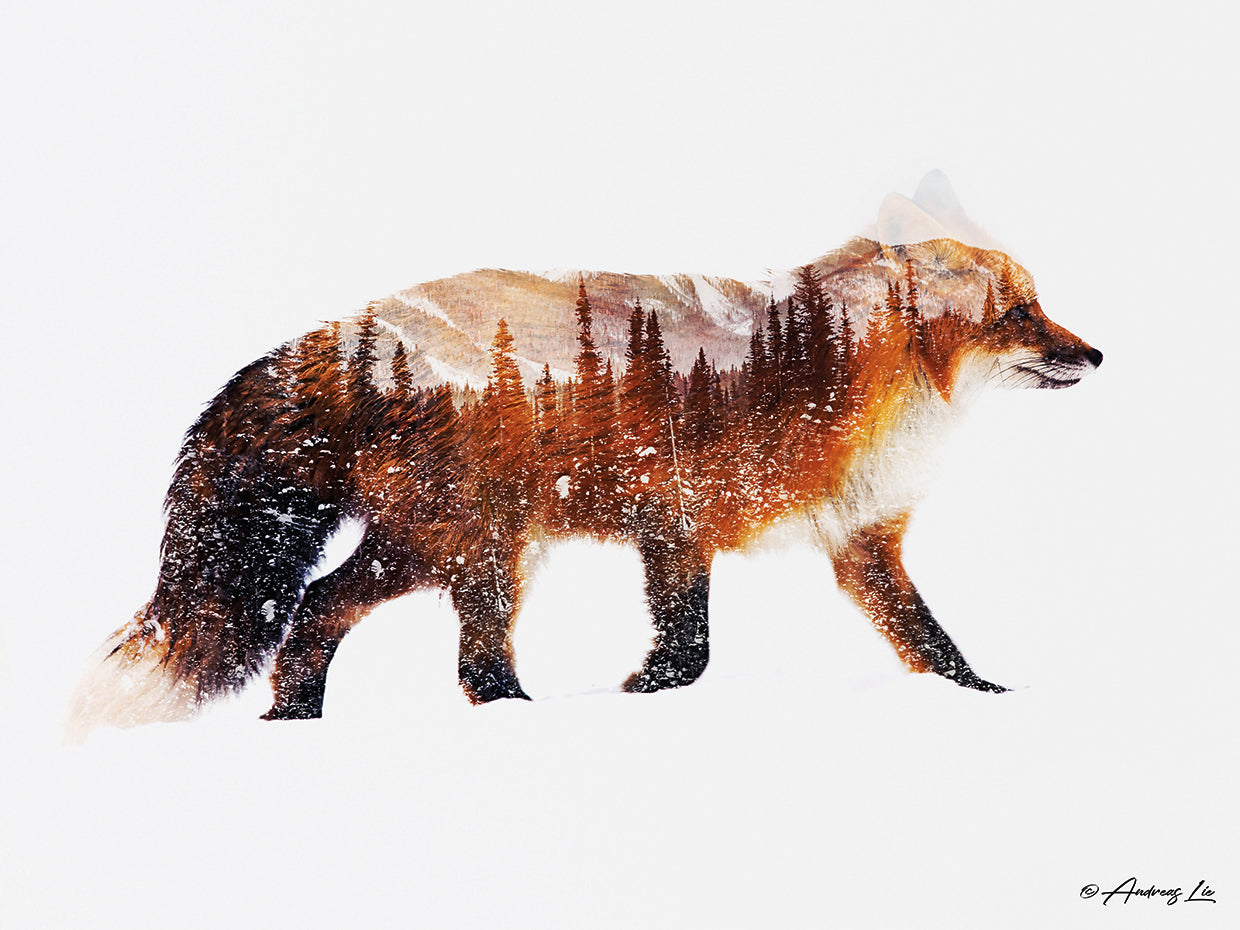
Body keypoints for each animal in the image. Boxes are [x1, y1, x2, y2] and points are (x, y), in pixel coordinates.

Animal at [67, 173, 1102, 739]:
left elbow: (938, 647)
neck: (843, 379)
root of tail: (347, 332)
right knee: (373, 627)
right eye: (1020, 315)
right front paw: (630, 700)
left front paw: (994, 704)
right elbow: (688, 655)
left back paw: (308, 723)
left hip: (484, 556)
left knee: (401, 643)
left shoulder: (858, 544)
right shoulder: (678, 520)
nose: (1095, 355)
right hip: (460, 545)